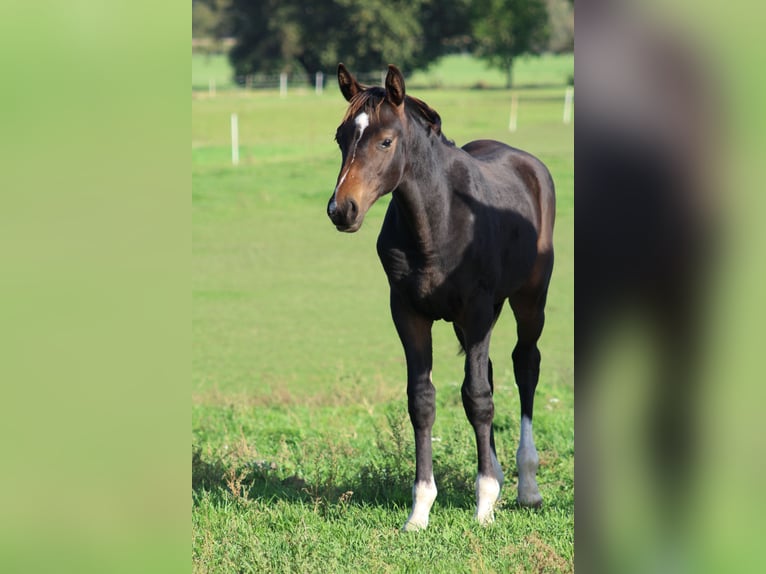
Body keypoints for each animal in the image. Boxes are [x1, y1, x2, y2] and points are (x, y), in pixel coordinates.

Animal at [328, 63, 556, 532]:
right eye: (341, 137)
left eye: (386, 140)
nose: (342, 210)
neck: (439, 222)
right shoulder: (408, 313)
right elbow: (423, 400)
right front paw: (420, 509)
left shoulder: (477, 310)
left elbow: (478, 398)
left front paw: (484, 504)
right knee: (489, 370)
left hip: (529, 301)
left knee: (525, 366)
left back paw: (526, 486)